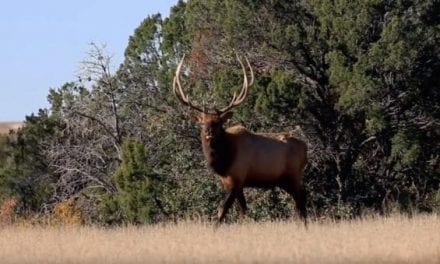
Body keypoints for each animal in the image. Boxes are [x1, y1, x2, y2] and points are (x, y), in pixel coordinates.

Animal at [174, 54, 308, 224]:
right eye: (202, 122)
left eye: (218, 122)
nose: (209, 132)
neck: (224, 160)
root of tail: (306, 148)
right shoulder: (230, 182)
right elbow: (243, 211)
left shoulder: (237, 178)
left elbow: (222, 211)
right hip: (284, 181)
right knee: (300, 202)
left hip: (294, 175)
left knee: (301, 202)